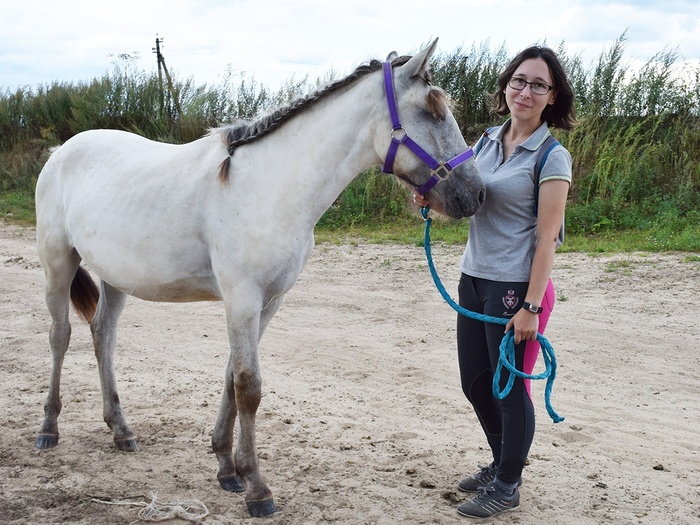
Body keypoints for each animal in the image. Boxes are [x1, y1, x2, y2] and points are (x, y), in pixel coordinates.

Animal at [32, 39, 482, 512]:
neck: (269, 186)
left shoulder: (268, 302)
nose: (475, 194)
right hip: (57, 263)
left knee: (103, 335)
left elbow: (232, 379)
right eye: (432, 112)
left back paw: (121, 430)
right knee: (60, 336)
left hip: (117, 277)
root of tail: (61, 151)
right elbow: (249, 387)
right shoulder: (242, 298)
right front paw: (256, 487)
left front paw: (227, 468)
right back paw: (48, 429)